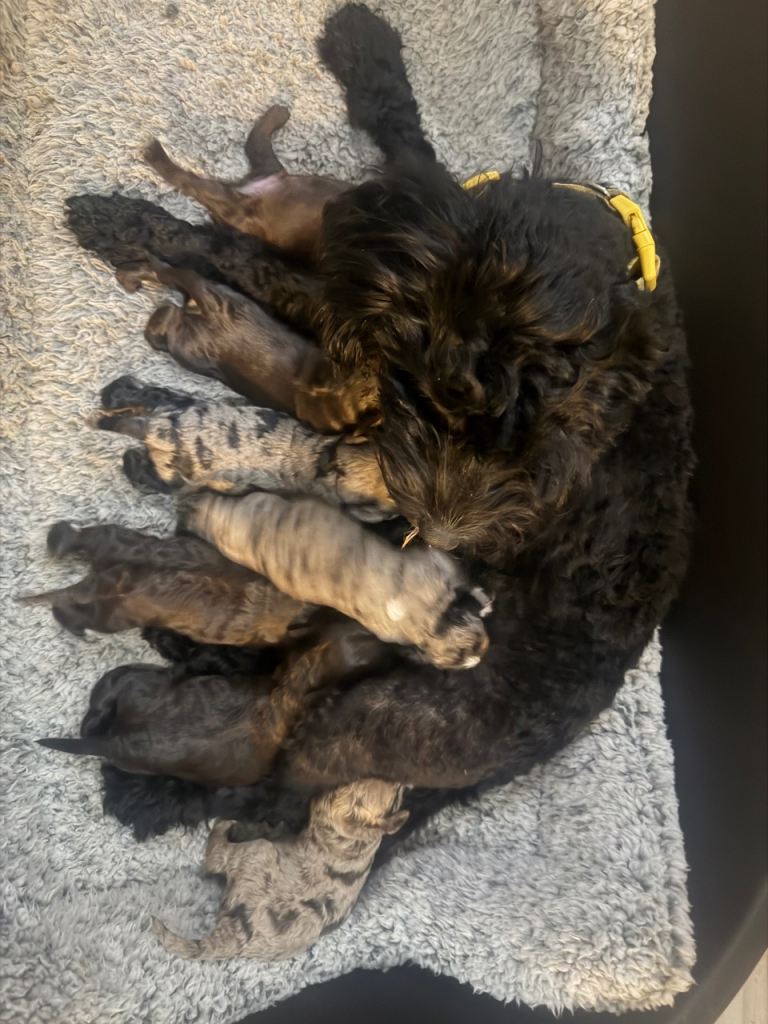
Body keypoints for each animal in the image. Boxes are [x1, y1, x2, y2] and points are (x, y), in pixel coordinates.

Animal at [96, 375, 393, 521]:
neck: (321, 456)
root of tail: (159, 430)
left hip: (179, 403)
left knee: (149, 394)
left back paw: (115, 392)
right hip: (174, 476)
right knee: (143, 469)